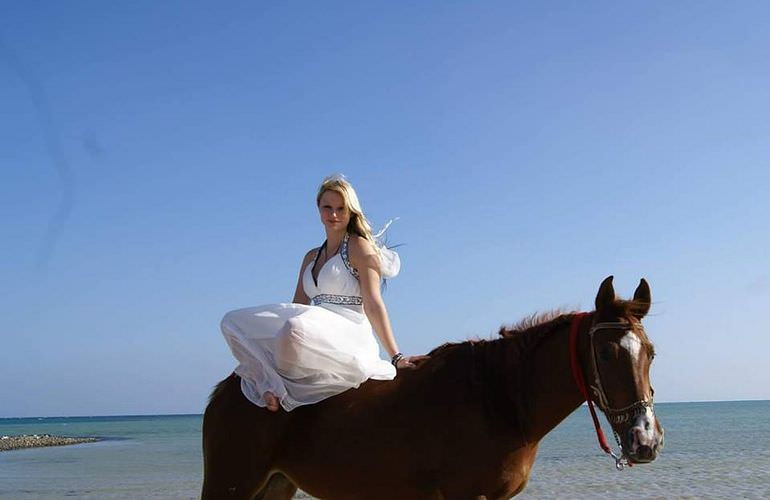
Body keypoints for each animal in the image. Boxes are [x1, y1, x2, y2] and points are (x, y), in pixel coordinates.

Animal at [201, 278, 664, 500]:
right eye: (605, 353)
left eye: (651, 353)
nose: (645, 440)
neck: (499, 398)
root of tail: (230, 388)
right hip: (231, 485)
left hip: (276, 485)